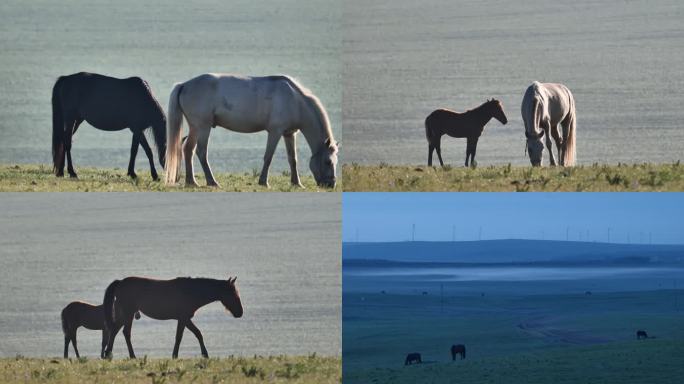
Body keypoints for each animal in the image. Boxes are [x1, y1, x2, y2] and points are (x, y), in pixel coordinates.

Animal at [100, 274, 242, 358]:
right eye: (233, 294)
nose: (240, 312)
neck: (191, 291)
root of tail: (120, 282)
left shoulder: (185, 319)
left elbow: (196, 334)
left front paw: (204, 354)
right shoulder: (184, 318)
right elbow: (181, 336)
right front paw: (176, 356)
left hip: (123, 314)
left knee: (114, 330)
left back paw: (108, 354)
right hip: (128, 314)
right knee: (126, 332)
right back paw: (132, 356)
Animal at [166, 73, 336, 188]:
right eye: (327, 161)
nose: (331, 185)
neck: (294, 99)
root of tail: (185, 85)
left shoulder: (289, 134)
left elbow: (292, 159)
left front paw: (296, 183)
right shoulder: (275, 132)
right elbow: (268, 157)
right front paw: (263, 182)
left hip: (195, 127)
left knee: (188, 149)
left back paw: (191, 182)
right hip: (203, 127)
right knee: (201, 152)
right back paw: (212, 182)